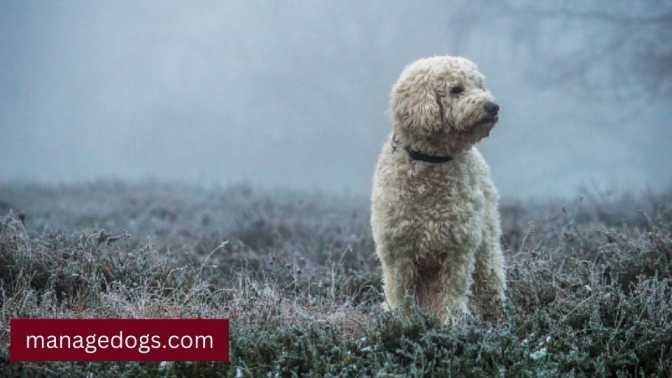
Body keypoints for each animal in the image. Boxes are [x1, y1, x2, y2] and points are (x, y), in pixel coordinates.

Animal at [370, 56, 506, 324]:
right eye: (456, 89)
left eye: (480, 85)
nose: (493, 107)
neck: (432, 161)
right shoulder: (397, 249)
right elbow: (399, 292)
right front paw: (399, 322)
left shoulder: (458, 246)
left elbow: (453, 291)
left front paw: (453, 323)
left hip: (486, 245)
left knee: (490, 280)